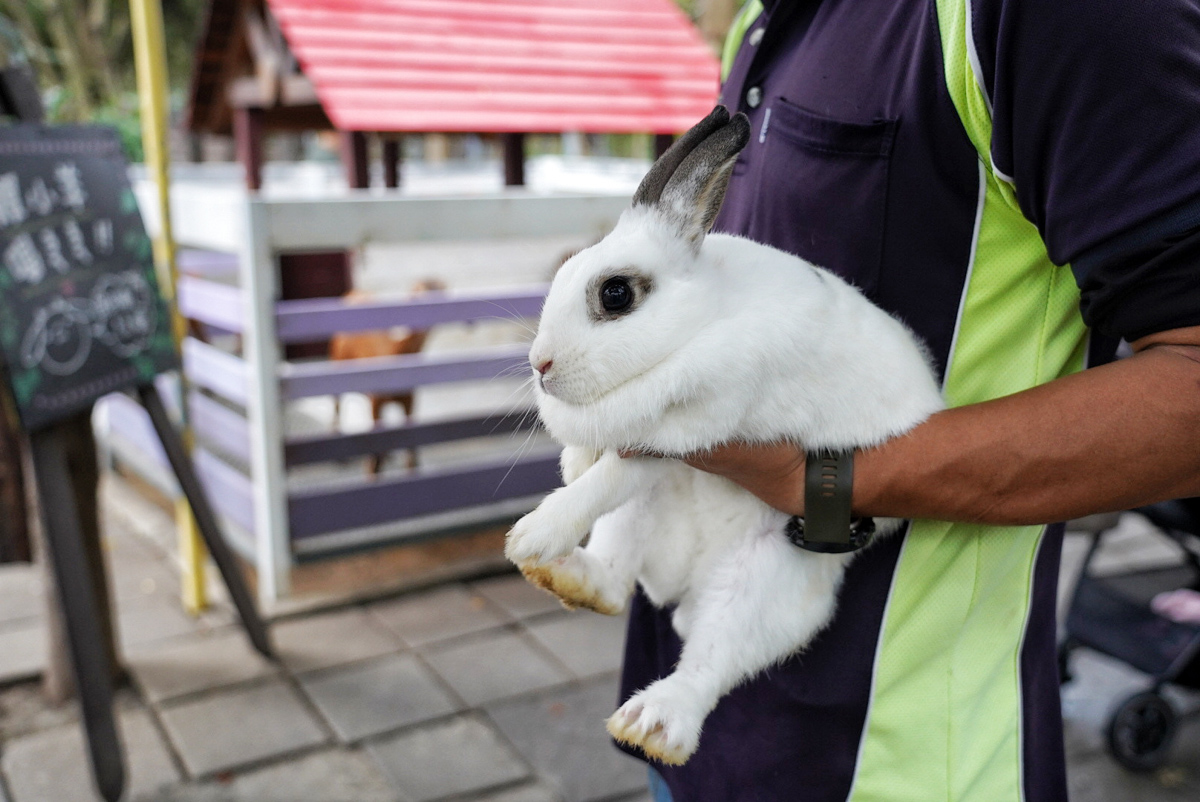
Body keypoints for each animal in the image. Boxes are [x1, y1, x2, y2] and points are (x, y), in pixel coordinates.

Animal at [506, 106, 945, 763]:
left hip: (769, 575)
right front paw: (572, 465)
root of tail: (687, 584)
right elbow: (591, 466)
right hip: (641, 526)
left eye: (616, 293)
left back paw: (651, 724)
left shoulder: (686, 435)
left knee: (708, 662)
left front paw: (530, 534)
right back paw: (562, 575)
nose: (541, 364)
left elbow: (608, 479)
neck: (698, 322)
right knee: (614, 586)